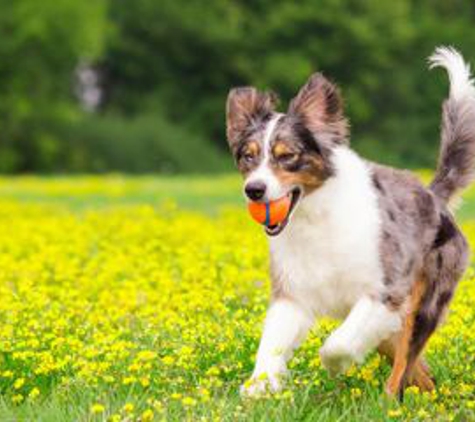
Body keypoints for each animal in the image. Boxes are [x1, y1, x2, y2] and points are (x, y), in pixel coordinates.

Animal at [226, 47, 475, 398]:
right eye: (248, 156)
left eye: (287, 156)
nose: (254, 190)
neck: (314, 218)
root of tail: (433, 197)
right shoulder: (294, 293)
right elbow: (271, 344)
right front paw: (258, 387)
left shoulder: (385, 294)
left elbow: (336, 345)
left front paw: (336, 366)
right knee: (420, 372)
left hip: (423, 303)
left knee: (405, 361)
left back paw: (389, 400)